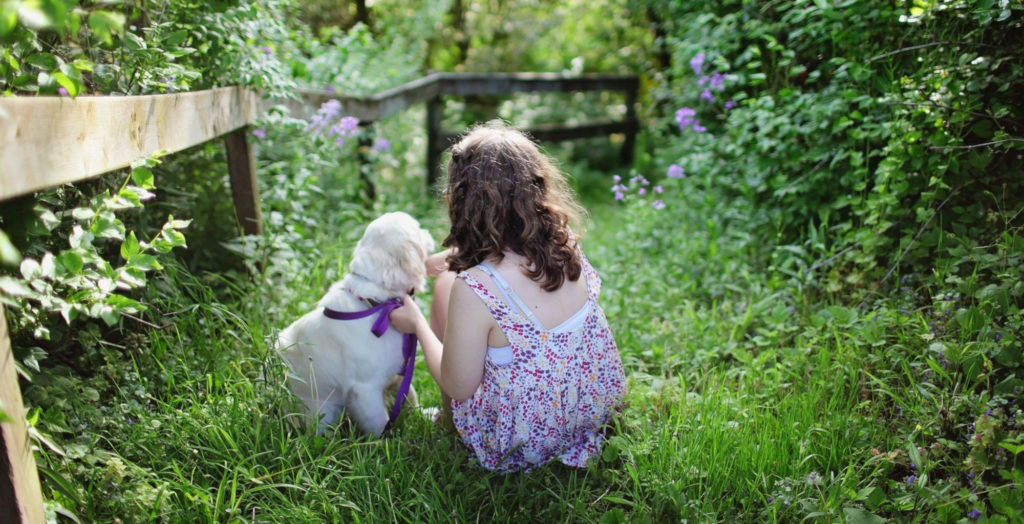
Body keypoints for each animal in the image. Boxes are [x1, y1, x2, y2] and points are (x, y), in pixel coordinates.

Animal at [280, 210, 436, 435]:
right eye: (417, 228)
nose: (428, 232)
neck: (376, 304)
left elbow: (410, 395)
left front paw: (425, 416)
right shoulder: (365, 389)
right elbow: (379, 421)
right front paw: (386, 440)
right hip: (323, 411)